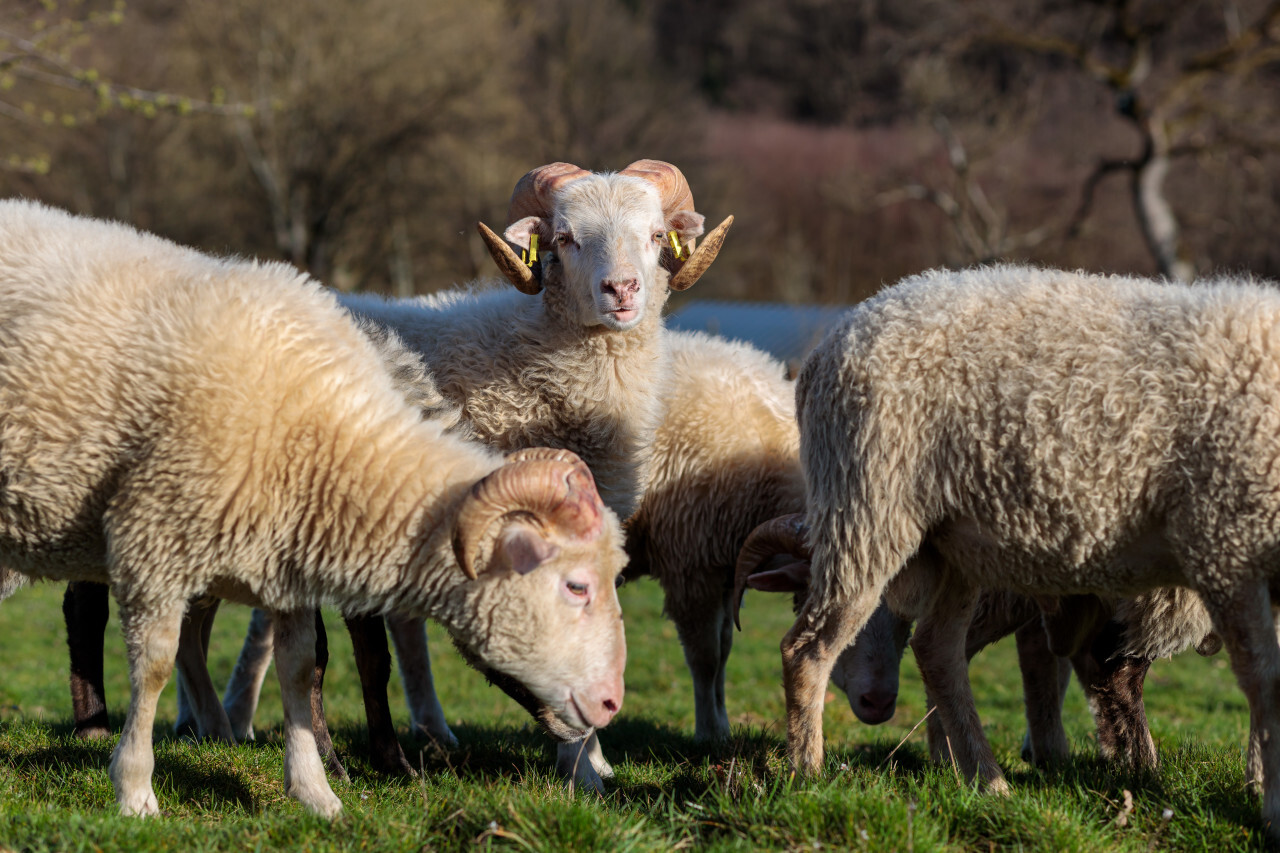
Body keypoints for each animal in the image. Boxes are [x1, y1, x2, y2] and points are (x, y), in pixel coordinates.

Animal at [0, 195, 629, 814]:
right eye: (576, 587)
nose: (609, 707)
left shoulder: (288, 553)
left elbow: (312, 665)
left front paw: (328, 785)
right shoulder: (159, 534)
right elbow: (162, 663)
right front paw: (136, 791)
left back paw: (215, 727)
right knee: (87, 611)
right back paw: (96, 728)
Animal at [778, 262, 1280, 840]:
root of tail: (836, 337)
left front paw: (1259, 784)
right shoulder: (1226, 545)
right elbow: (1265, 679)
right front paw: (1269, 801)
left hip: (956, 543)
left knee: (937, 649)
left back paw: (986, 781)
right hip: (867, 509)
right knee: (807, 649)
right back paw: (809, 775)